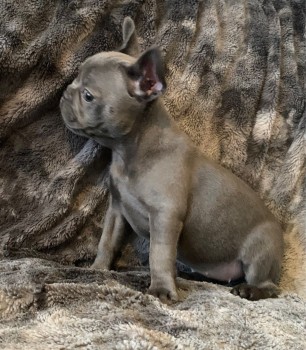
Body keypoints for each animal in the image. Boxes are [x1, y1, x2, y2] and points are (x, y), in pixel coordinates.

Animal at [60, 17, 284, 302]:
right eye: (75, 81)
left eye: (88, 95)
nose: (65, 92)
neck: (132, 149)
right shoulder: (117, 210)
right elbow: (107, 241)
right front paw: (98, 268)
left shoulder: (165, 215)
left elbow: (159, 254)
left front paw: (163, 289)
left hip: (261, 248)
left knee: (267, 283)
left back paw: (250, 289)